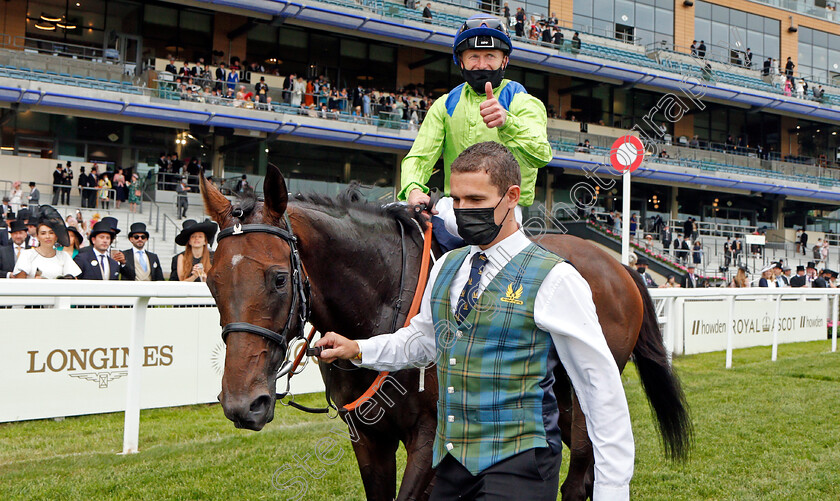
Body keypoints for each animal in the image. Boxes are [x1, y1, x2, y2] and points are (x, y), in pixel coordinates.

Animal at [202, 164, 688, 500]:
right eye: (210, 281)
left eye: (279, 278)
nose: (243, 404)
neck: (381, 301)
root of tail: (618, 264)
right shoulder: (368, 437)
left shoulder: (432, 436)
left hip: (588, 396)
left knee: (581, 473)